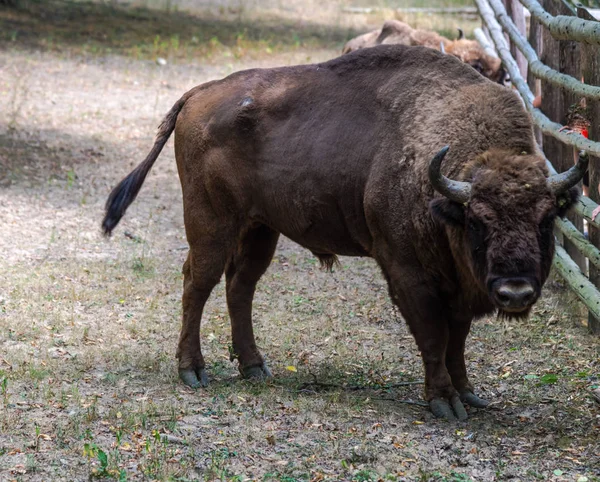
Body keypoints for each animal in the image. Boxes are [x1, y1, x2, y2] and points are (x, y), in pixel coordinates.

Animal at [102, 46, 584, 422]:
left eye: (546, 219)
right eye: (478, 219)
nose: (516, 291)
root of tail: (199, 93)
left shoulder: (459, 284)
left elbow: (457, 340)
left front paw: (469, 394)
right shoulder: (407, 272)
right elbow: (434, 335)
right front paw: (445, 402)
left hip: (260, 229)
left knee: (240, 287)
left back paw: (254, 367)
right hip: (212, 225)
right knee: (197, 283)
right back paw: (193, 371)